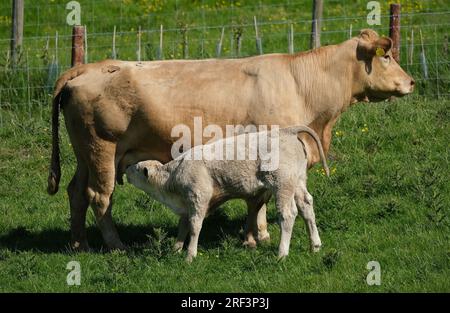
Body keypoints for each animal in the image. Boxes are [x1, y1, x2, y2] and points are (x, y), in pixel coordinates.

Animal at [47, 28, 414, 249]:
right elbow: (259, 200)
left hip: (85, 155)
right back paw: (116, 245)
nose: (410, 82)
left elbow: (255, 198)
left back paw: (79, 243)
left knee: (76, 193)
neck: (301, 84)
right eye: (386, 56)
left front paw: (254, 234)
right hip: (102, 151)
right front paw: (259, 235)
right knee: (99, 196)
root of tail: (86, 68)